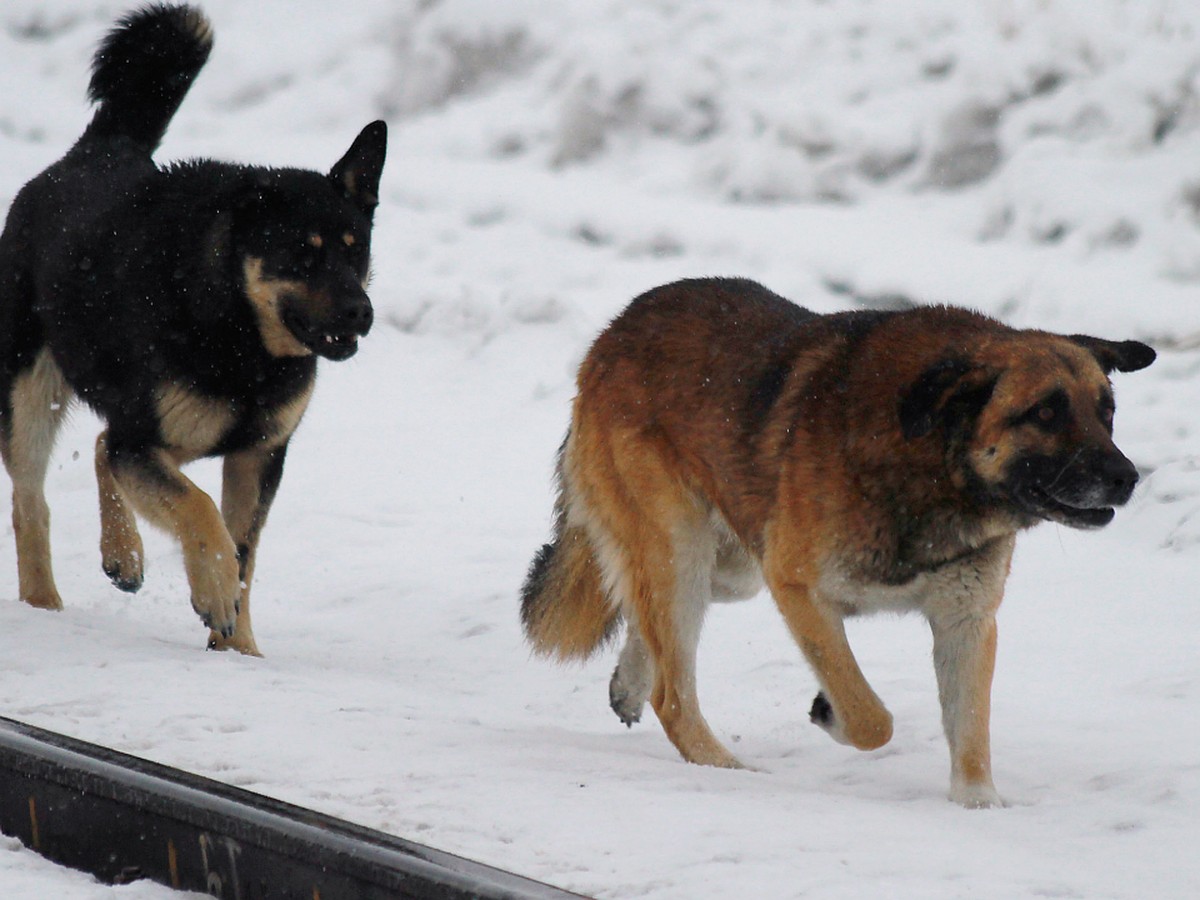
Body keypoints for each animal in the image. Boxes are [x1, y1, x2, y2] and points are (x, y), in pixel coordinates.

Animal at [0, 5, 386, 657]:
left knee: (103, 446)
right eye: (303, 256)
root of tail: (97, 151)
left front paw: (239, 649)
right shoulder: (151, 440)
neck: (241, 334)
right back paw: (43, 603)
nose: (361, 312)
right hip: (32, 391)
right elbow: (202, 511)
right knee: (32, 499)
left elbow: (245, 550)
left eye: (355, 251)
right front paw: (214, 593)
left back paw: (123, 555)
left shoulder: (259, 454)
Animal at [520, 278, 1156, 806]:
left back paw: (631, 681)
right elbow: (870, 717)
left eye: (1106, 412)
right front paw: (831, 712)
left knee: (641, 612)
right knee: (672, 695)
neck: (931, 462)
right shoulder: (798, 589)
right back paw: (725, 767)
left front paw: (979, 806)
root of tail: (615, 331)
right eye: (1045, 413)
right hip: (684, 551)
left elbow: (971, 730)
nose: (1127, 478)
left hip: (728, 567)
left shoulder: (967, 619)